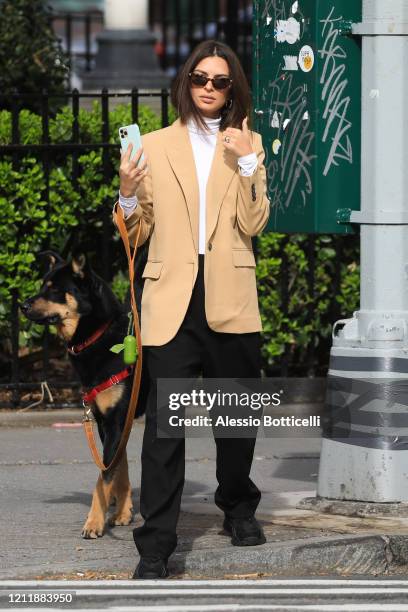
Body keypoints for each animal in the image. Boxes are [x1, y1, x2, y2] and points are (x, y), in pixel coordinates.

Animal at [20, 251, 148, 536]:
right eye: (42, 285)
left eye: (55, 289)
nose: (22, 305)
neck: (98, 335)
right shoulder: (106, 421)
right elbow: (118, 466)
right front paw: (123, 513)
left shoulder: (116, 421)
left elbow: (103, 477)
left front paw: (94, 522)